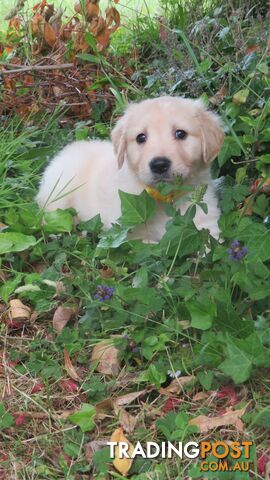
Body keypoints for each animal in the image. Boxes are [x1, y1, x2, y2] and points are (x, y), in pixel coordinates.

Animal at [36, 96, 224, 242]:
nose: (159, 164)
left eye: (180, 133)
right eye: (141, 137)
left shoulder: (206, 222)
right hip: (59, 193)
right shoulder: (126, 232)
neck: (164, 197)